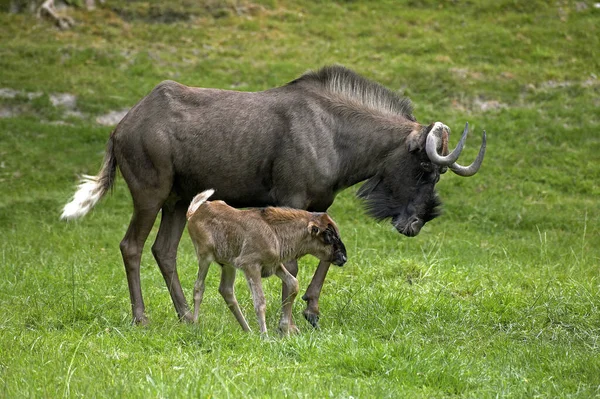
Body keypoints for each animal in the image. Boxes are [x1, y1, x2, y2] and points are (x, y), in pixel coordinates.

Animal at [186, 190, 346, 334]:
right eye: (328, 235)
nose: (343, 258)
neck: (274, 232)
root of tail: (193, 213)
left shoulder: (275, 265)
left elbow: (293, 284)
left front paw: (285, 329)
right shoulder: (251, 266)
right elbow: (260, 302)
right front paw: (265, 336)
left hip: (228, 265)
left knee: (226, 291)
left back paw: (248, 330)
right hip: (205, 257)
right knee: (199, 287)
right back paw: (195, 324)